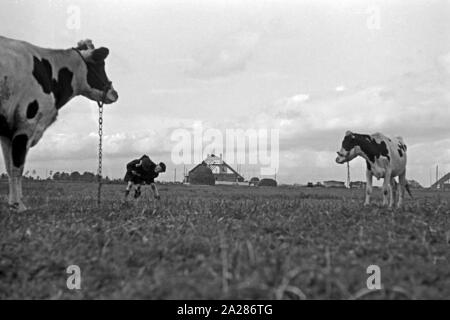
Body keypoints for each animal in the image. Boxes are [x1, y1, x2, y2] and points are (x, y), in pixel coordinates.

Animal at [0, 36, 118, 211]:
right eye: (100, 64)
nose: (115, 94)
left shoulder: (8, 131)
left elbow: (9, 167)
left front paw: (13, 203)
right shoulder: (25, 124)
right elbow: (17, 166)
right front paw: (18, 205)